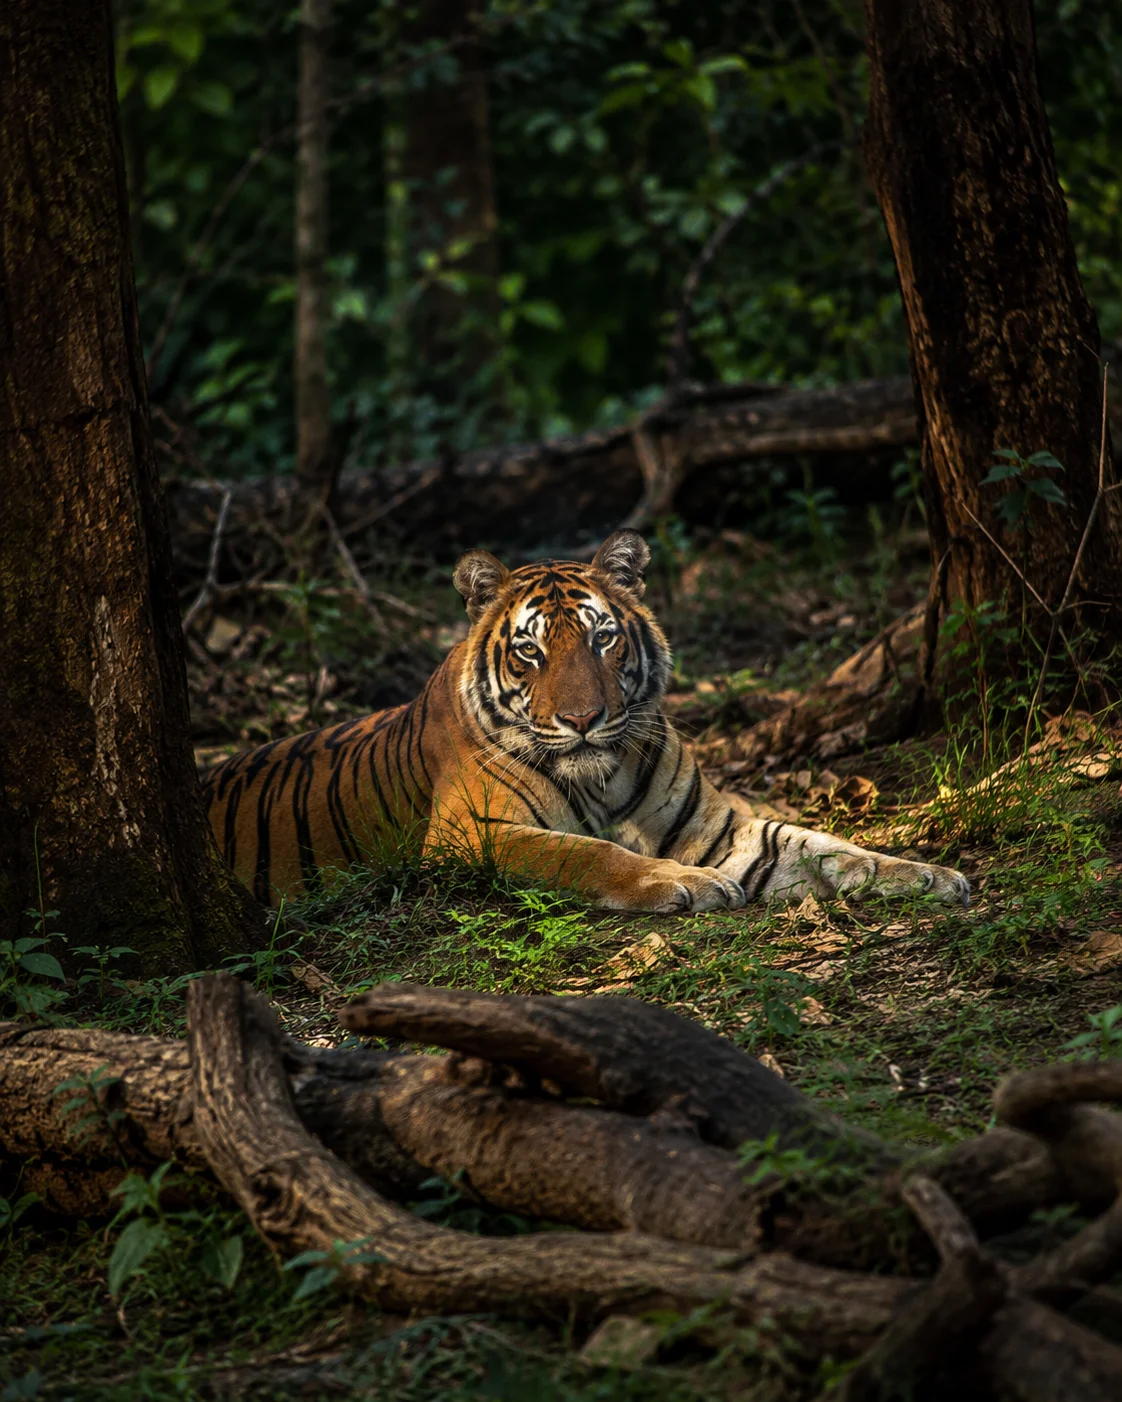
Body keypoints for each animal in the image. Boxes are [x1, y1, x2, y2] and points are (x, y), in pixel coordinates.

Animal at [202, 530, 969, 913]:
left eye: (603, 639)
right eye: (530, 650)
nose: (581, 719)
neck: (603, 776)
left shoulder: (719, 826)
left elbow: (819, 845)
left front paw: (926, 875)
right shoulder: (467, 834)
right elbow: (585, 852)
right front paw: (681, 884)